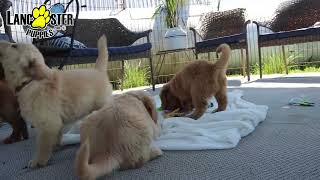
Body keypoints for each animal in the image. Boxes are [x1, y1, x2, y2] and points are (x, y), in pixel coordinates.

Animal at [0, 35, 112, 167]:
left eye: (14, 46)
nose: (0, 41)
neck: (29, 81)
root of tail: (98, 70)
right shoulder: (54, 123)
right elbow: (55, 137)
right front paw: (55, 147)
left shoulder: (48, 124)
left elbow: (42, 145)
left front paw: (38, 161)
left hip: (102, 104)